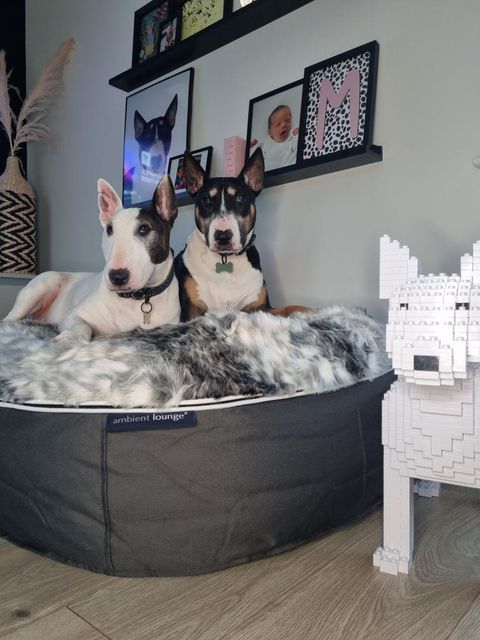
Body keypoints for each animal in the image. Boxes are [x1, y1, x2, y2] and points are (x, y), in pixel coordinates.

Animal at [4, 176, 180, 342]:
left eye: (144, 228)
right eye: (109, 229)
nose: (117, 277)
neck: (139, 299)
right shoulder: (72, 316)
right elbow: (83, 327)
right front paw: (71, 337)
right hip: (43, 285)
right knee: (8, 319)